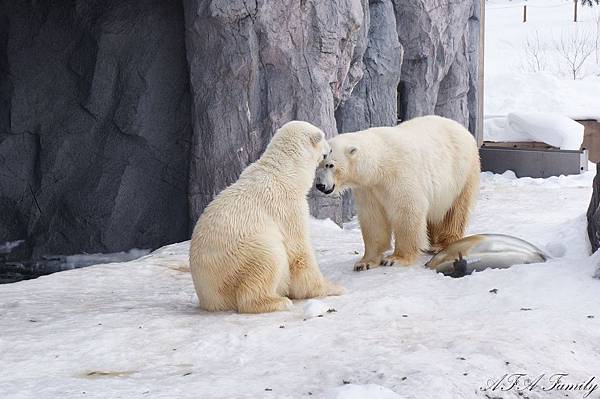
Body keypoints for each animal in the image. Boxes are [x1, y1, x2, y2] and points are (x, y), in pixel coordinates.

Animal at [190, 120, 344, 314]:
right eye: (323, 136)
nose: (330, 148)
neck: (287, 172)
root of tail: (208, 297)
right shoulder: (287, 207)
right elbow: (298, 249)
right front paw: (333, 288)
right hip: (239, 257)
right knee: (268, 257)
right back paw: (277, 301)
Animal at [316, 115, 480, 272]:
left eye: (330, 165)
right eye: (317, 165)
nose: (320, 185)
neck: (379, 165)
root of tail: (461, 128)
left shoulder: (399, 175)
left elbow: (408, 209)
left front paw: (395, 259)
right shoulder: (368, 189)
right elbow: (373, 219)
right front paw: (364, 262)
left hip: (461, 174)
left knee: (455, 211)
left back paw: (441, 244)